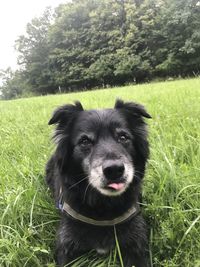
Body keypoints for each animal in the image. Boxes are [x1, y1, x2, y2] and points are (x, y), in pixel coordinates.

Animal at [45, 99, 151, 266]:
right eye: (85, 141)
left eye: (123, 137)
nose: (114, 170)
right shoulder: (67, 245)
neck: (103, 206)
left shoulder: (135, 243)